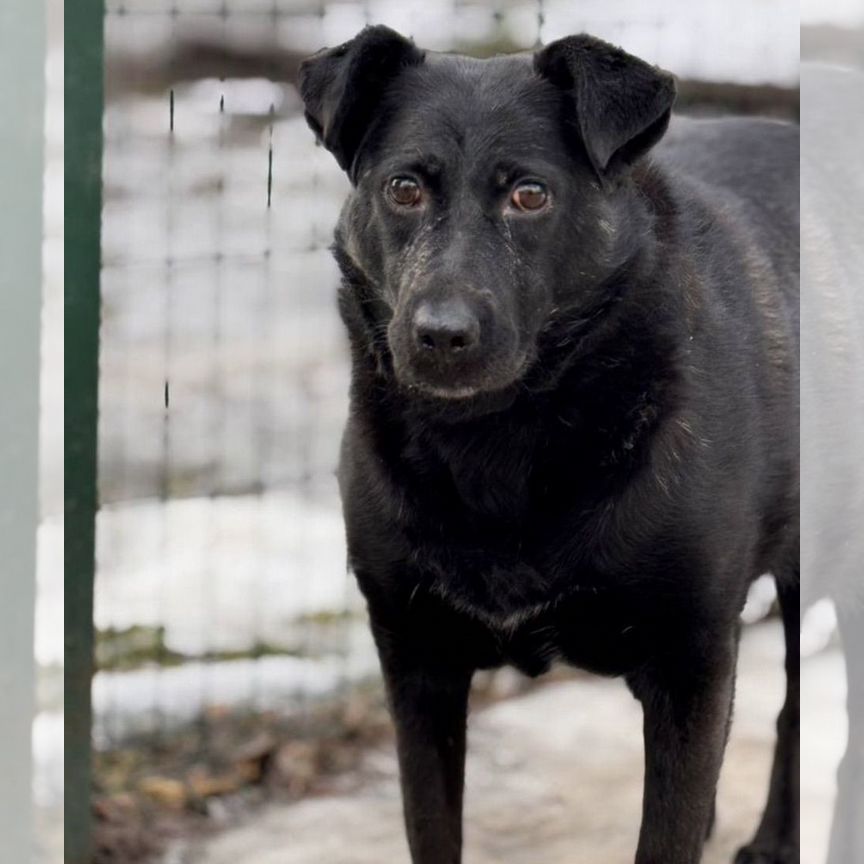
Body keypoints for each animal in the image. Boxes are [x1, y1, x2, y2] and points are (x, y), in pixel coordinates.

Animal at [300, 27, 800, 864]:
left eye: (530, 195)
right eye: (403, 189)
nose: (441, 337)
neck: (499, 442)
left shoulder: (692, 664)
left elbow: (668, 833)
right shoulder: (417, 660)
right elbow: (432, 828)